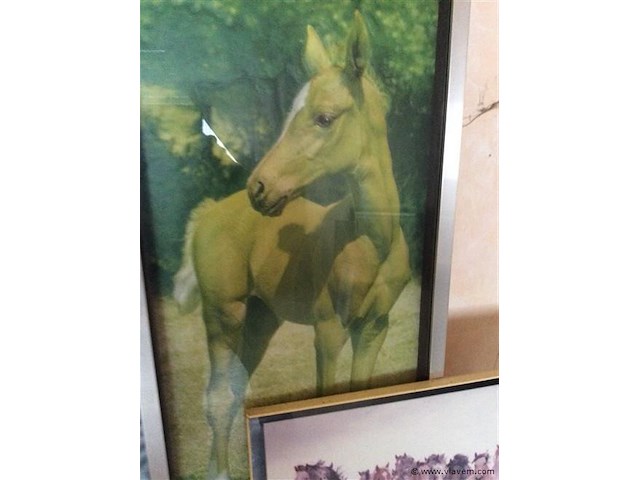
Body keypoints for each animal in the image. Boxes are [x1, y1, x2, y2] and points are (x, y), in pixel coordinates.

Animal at [173, 11, 411, 480]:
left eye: (324, 117)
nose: (259, 188)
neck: (372, 242)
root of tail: (210, 211)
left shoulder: (375, 327)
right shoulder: (329, 330)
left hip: (261, 318)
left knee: (235, 389)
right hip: (223, 312)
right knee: (218, 398)